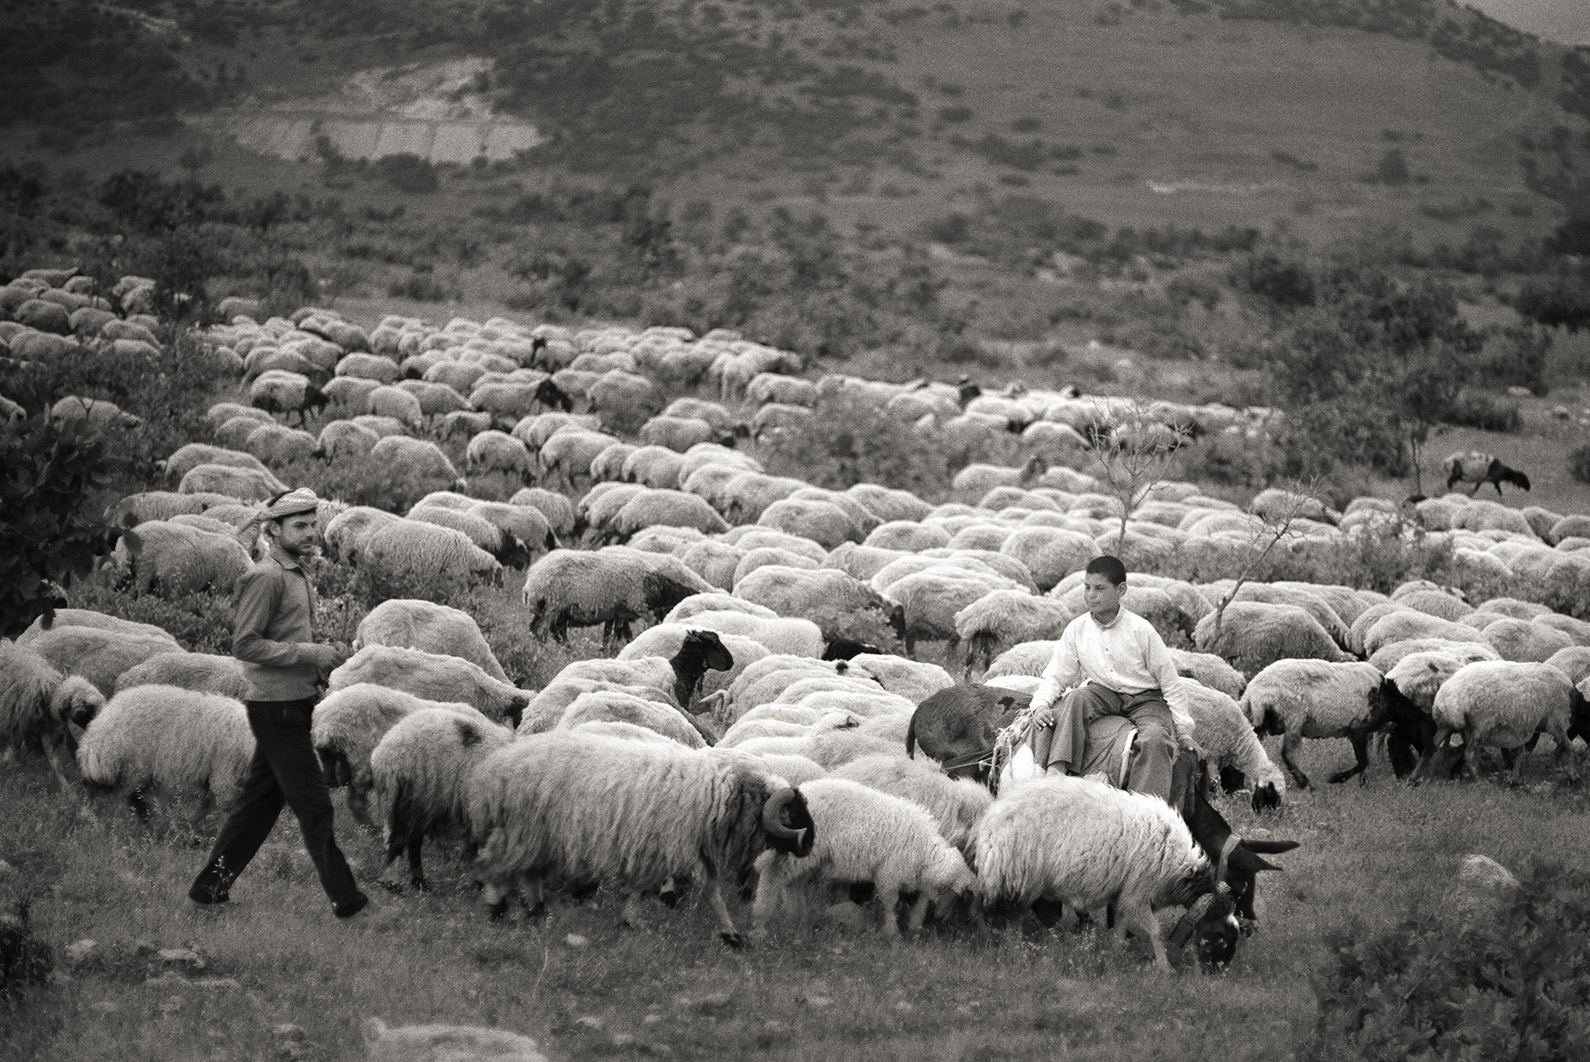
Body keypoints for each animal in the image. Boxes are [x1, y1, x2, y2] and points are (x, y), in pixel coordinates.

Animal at [75, 683, 252, 826]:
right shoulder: (227, 778)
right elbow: (227, 809)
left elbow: (206, 806)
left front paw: (189, 826)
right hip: (127, 768)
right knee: (100, 796)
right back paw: (92, 822)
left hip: (136, 774)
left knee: (136, 800)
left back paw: (151, 826)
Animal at [367, 709, 511, 890]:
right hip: (415, 798)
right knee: (402, 841)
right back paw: (395, 881)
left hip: (415, 804)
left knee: (411, 841)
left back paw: (418, 882)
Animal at [747, 775, 979, 941]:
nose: (972, 890)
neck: (924, 849)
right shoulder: (889, 873)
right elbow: (890, 902)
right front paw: (891, 932)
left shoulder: (915, 876)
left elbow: (920, 903)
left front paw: (914, 927)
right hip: (801, 849)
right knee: (773, 875)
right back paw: (761, 919)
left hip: (810, 857)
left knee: (793, 883)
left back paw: (798, 917)